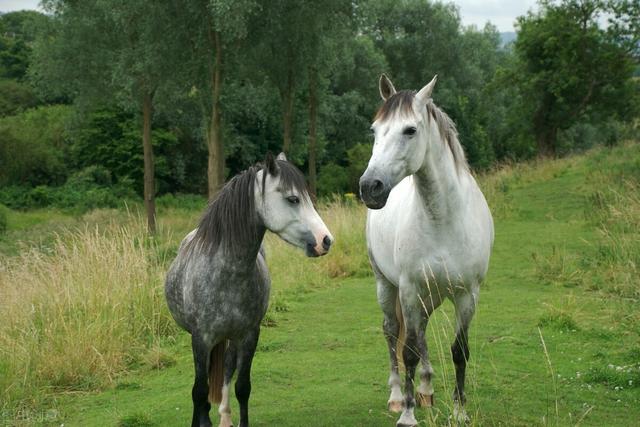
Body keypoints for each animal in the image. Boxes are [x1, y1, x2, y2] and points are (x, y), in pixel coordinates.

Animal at [165, 155, 332, 427]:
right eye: (293, 199)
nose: (326, 240)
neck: (227, 274)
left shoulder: (249, 335)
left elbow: (242, 387)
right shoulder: (200, 338)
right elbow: (199, 391)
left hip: (231, 339)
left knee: (225, 371)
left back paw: (224, 417)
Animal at [360, 75, 496, 426]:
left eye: (410, 130)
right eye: (375, 130)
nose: (370, 187)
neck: (443, 219)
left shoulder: (467, 294)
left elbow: (459, 350)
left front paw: (460, 411)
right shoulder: (409, 288)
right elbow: (407, 350)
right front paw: (407, 415)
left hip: (430, 294)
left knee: (421, 330)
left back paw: (426, 388)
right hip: (387, 285)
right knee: (393, 332)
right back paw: (398, 396)